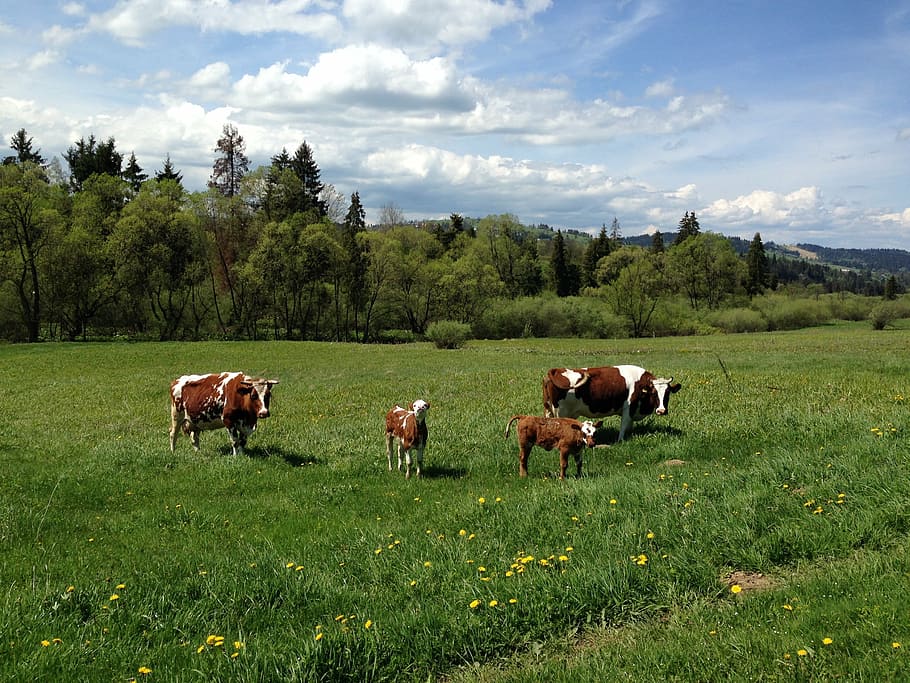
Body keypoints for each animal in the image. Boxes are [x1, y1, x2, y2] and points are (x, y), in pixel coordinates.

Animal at [543, 365, 680, 442]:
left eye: (668, 393)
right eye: (654, 393)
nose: (661, 411)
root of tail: (555, 370)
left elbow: (629, 426)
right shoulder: (628, 407)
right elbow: (624, 425)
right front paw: (620, 441)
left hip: (548, 410)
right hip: (561, 412)